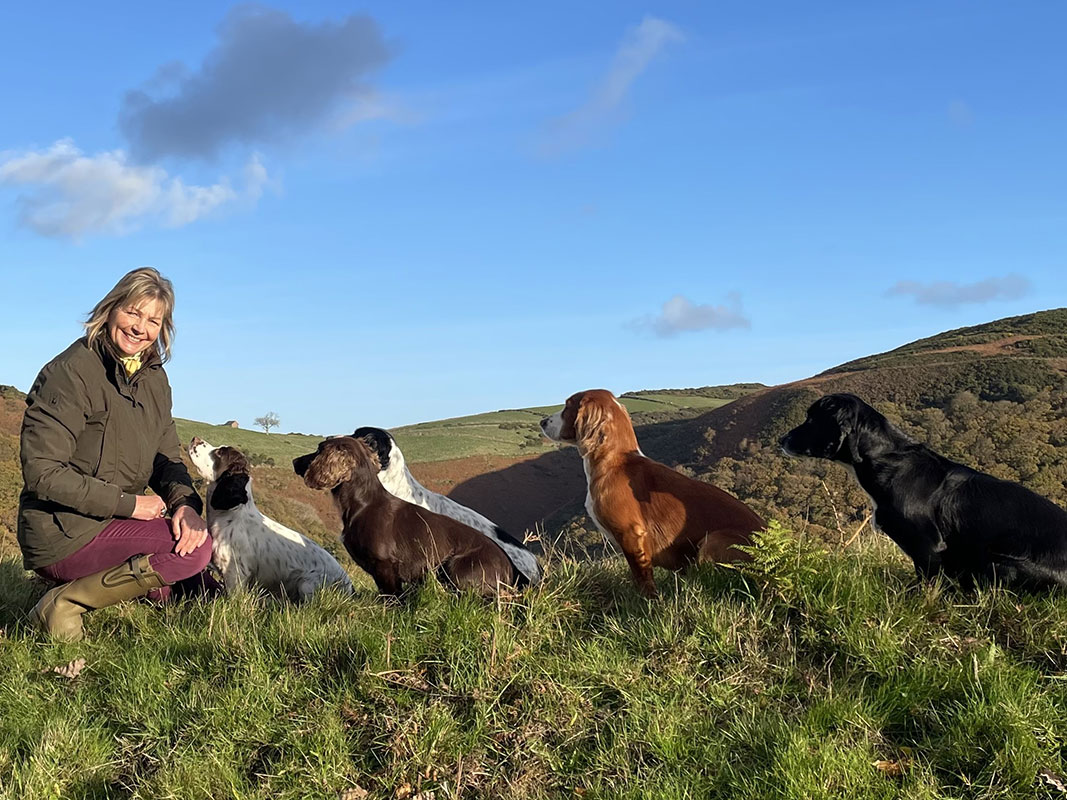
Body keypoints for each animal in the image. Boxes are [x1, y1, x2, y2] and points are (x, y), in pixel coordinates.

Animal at [296, 435, 520, 597]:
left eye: (318, 449)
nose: (294, 461)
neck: (364, 502)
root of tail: (511, 569)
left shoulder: (385, 567)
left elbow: (392, 598)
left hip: (456, 567)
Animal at [542, 392, 768, 597]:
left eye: (568, 406)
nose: (543, 422)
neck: (614, 463)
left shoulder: (632, 533)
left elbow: (642, 578)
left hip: (712, 540)